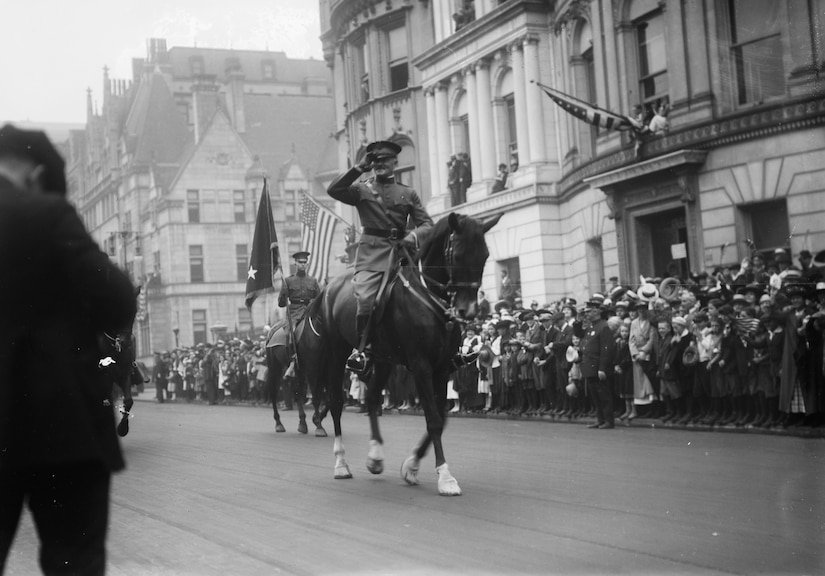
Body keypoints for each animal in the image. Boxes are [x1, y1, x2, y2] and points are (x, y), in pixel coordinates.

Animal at [310, 212, 498, 496]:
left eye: (485, 255)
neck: (429, 299)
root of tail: (330, 286)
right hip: (336, 353)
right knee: (336, 402)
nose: (469, 311)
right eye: (457, 255)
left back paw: (375, 456)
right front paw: (445, 477)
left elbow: (441, 417)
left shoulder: (442, 367)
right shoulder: (421, 366)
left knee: (373, 398)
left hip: (384, 360)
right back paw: (341, 463)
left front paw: (411, 466)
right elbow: (433, 419)